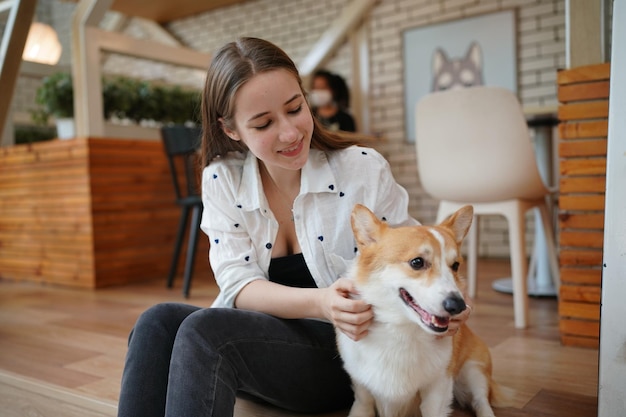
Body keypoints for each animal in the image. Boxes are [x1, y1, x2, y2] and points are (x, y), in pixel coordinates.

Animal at [336, 205, 508, 416]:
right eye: (417, 262)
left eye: (455, 265)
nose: (459, 306)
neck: (402, 330)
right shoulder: (362, 391)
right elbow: (362, 405)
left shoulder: (438, 387)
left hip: (474, 371)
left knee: (481, 401)